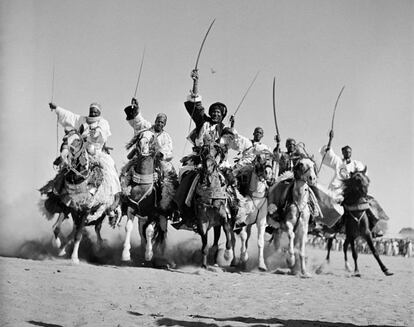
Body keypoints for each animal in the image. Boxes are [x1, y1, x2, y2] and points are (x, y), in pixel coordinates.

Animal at [120, 129, 177, 266]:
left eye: (152, 137)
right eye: (140, 135)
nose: (142, 145)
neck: (143, 185)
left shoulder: (153, 213)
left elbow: (150, 231)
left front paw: (149, 254)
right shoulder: (131, 208)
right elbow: (129, 228)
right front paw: (126, 254)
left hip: (162, 217)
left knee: (163, 233)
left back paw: (162, 256)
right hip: (142, 218)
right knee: (142, 232)